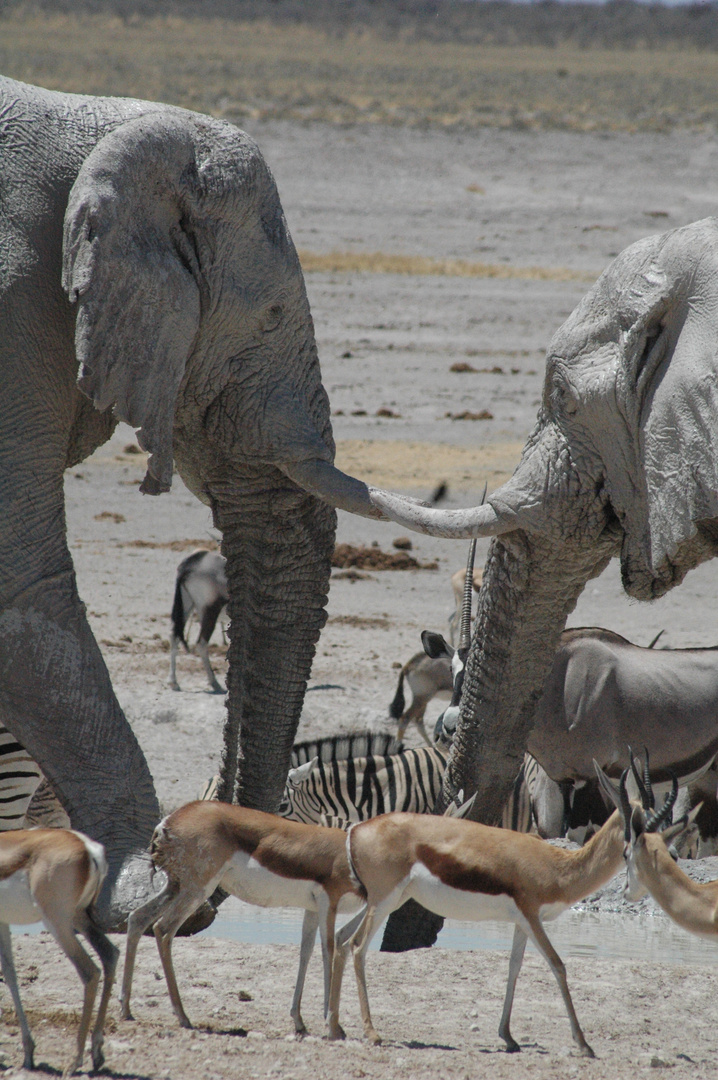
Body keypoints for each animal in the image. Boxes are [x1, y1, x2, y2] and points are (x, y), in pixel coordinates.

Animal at [0, 825, 117, 1071]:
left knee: (89, 971)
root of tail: (87, 847)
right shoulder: (2, 921)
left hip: (58, 922)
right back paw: (96, 1054)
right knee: (110, 954)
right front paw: (28, 1053)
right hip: (79, 916)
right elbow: (10, 974)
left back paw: (74, 1061)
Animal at [120, 807, 364, 1032]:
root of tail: (168, 822)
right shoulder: (328, 903)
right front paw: (334, 1026)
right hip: (197, 890)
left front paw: (299, 1021)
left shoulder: (312, 909)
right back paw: (183, 1017)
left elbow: (305, 951)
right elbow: (328, 951)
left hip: (175, 887)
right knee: (163, 929)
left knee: (138, 918)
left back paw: (126, 1010)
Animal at [326, 799, 626, 1058]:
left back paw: (335, 1028)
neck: (556, 867)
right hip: (384, 901)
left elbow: (514, 967)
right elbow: (558, 965)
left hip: (388, 900)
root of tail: (356, 830)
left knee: (341, 939)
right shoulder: (532, 918)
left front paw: (508, 1037)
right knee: (357, 946)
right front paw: (584, 1045)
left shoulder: (522, 923)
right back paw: (371, 1033)